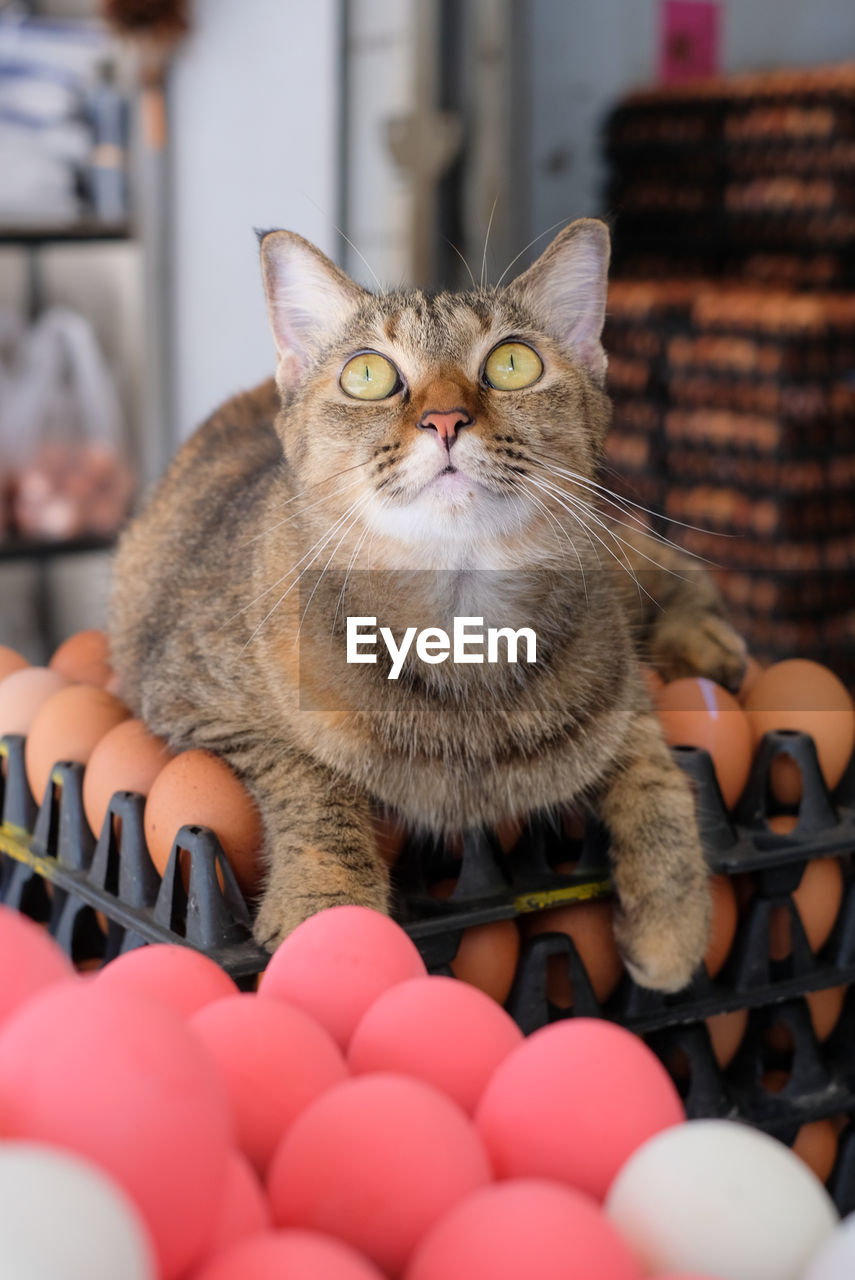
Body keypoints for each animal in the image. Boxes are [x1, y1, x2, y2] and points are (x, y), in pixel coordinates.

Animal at [110, 222, 742, 988]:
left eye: (511, 363)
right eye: (367, 375)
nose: (445, 419)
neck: (459, 620)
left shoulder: (619, 693)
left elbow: (653, 768)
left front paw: (672, 914)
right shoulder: (190, 700)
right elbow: (314, 779)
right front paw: (329, 908)